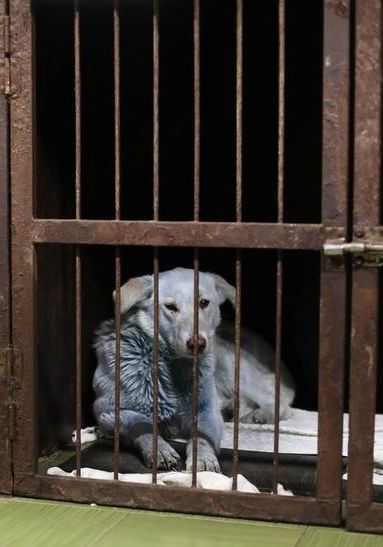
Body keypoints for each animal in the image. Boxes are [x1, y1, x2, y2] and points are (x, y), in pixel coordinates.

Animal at [94, 268, 296, 474]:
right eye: (170, 307)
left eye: (203, 303)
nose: (197, 343)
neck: (172, 365)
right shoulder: (105, 409)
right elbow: (138, 421)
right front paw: (157, 449)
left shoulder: (207, 411)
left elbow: (201, 437)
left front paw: (203, 459)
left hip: (233, 368)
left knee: (279, 403)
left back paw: (259, 415)